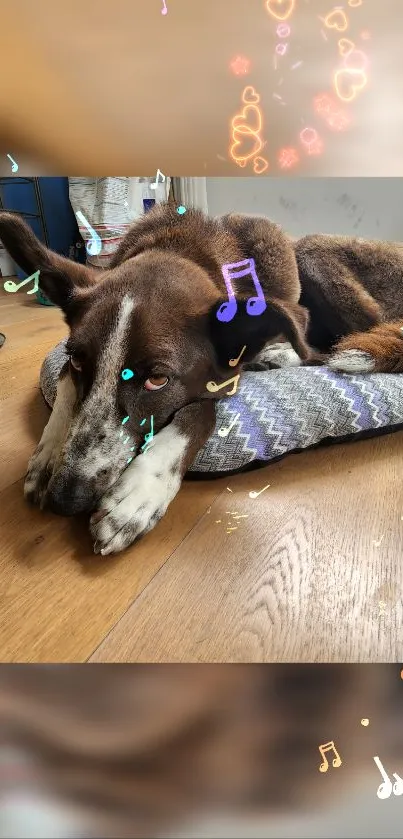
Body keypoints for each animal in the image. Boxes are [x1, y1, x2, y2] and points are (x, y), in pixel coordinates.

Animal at [0, 206, 402, 556]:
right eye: (78, 360)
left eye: (158, 380)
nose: (66, 499)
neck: (179, 247)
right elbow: (65, 387)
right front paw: (48, 455)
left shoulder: (223, 377)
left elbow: (199, 413)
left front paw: (140, 491)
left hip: (313, 255)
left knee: (328, 346)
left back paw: (280, 355)